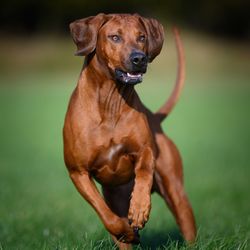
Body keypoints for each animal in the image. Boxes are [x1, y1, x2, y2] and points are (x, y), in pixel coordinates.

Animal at [63, 13, 196, 248]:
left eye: (141, 37)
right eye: (115, 37)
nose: (139, 58)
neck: (110, 102)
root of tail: (155, 117)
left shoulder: (145, 151)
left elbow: (143, 174)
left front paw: (140, 208)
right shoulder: (78, 172)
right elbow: (106, 215)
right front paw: (127, 231)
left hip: (176, 191)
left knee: (186, 221)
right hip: (115, 195)